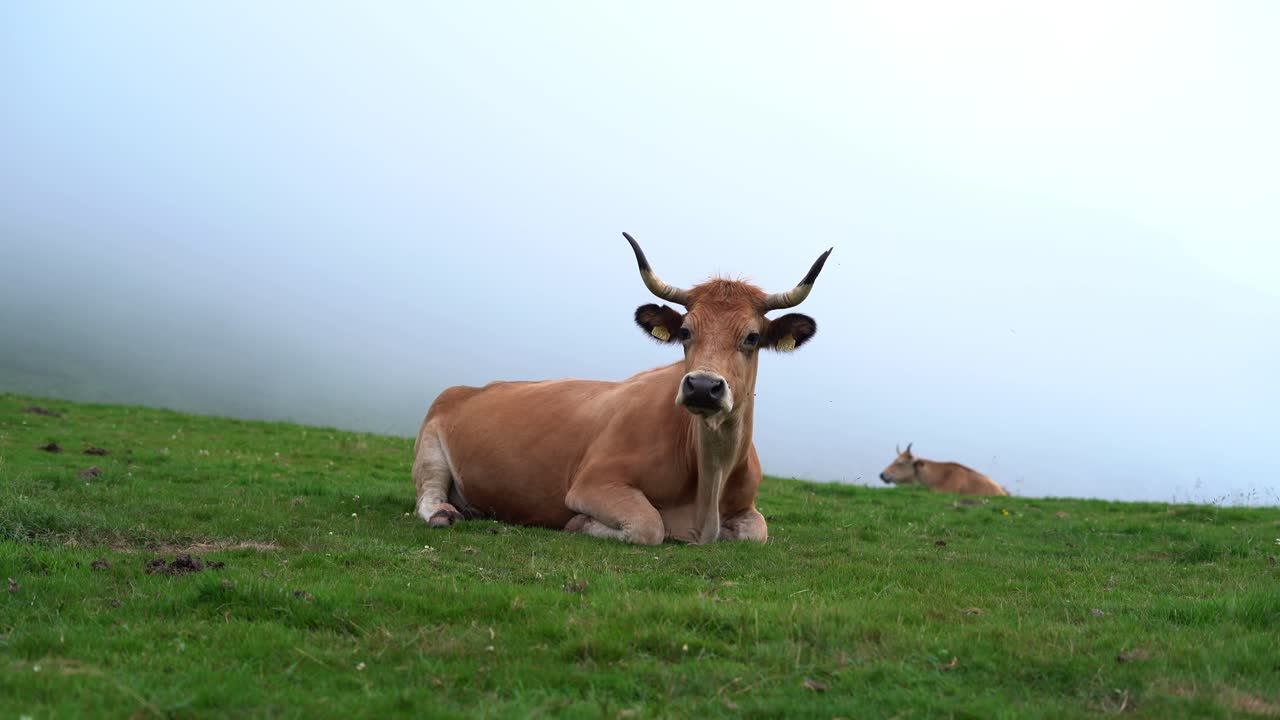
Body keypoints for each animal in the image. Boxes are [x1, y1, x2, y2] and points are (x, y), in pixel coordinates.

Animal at [411, 232, 831, 545]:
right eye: (685, 331)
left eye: (752, 337)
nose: (702, 386)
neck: (709, 483)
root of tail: (469, 388)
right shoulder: (593, 482)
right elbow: (649, 525)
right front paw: (582, 525)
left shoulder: (747, 509)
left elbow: (757, 531)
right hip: (430, 447)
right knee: (428, 493)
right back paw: (444, 514)